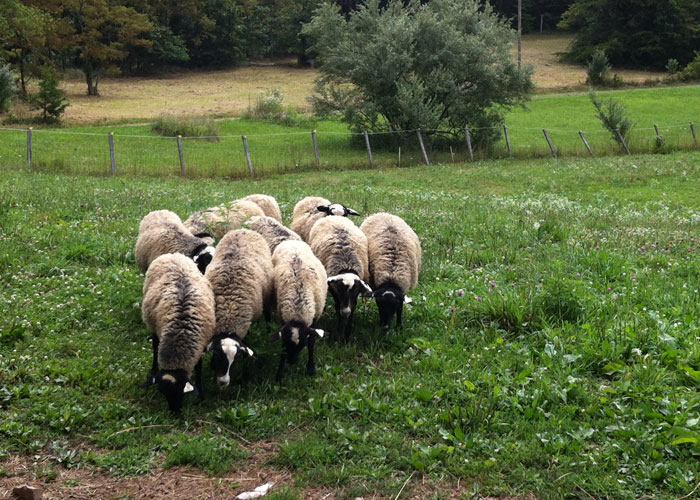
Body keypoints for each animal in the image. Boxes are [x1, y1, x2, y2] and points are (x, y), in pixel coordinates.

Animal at [140, 253, 216, 411]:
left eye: (181, 390)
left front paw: (200, 393)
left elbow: (199, 367)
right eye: (163, 392)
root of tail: (173, 254)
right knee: (155, 346)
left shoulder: (200, 344)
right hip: (152, 324)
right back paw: (154, 367)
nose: (175, 411)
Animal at [203, 229, 274, 387]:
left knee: (267, 316)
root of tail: (243, 230)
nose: (223, 382)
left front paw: (245, 376)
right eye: (218, 356)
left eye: (234, 361)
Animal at [270, 240, 328, 382]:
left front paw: (311, 368)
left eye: (302, 345)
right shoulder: (283, 319)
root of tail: (291, 241)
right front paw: (280, 374)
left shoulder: (315, 317)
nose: (291, 362)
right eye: (287, 344)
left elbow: (312, 341)